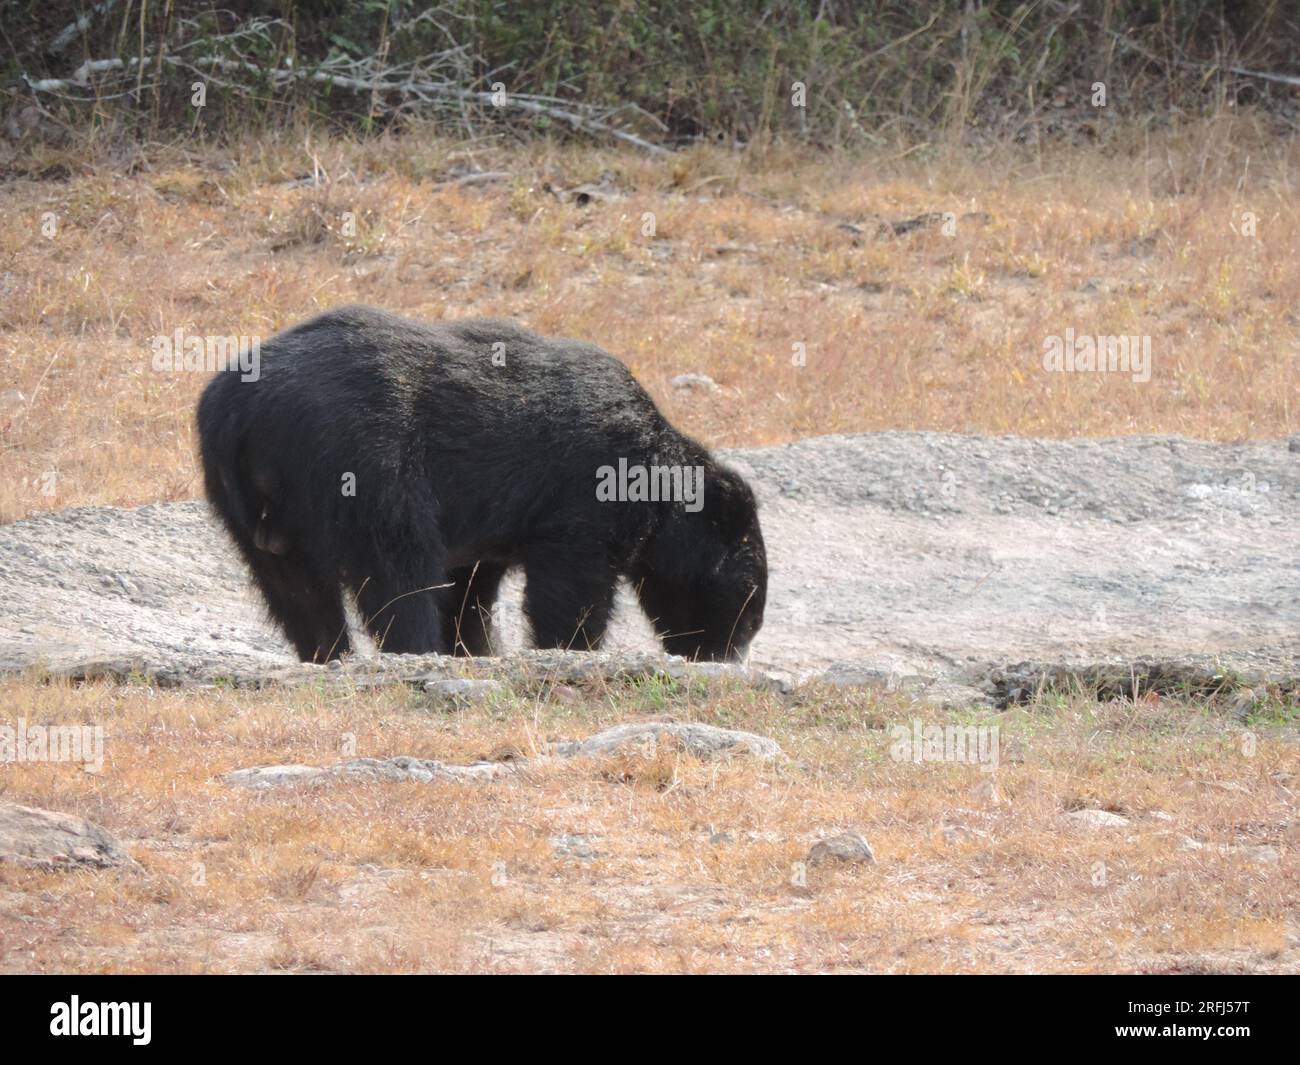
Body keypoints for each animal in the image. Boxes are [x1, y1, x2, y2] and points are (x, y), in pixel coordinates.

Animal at [197, 305, 766, 664]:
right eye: (743, 607)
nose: (723, 657)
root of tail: (242, 411)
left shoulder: (485, 535)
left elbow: (468, 592)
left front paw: (477, 649)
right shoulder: (584, 498)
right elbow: (573, 586)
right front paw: (569, 650)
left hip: (248, 501)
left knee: (294, 586)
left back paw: (327, 654)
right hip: (364, 462)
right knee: (398, 567)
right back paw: (412, 648)